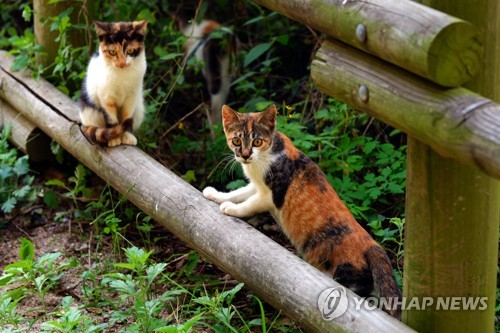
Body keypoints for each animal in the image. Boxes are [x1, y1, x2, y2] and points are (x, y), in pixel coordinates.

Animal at [203, 105, 402, 318]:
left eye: (257, 141)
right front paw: (216, 195)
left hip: (347, 277)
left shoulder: (270, 196)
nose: (246, 155)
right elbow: (239, 192)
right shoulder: (256, 187)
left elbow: (248, 204)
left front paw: (230, 208)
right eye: (237, 140)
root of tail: (372, 245)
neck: (265, 157)